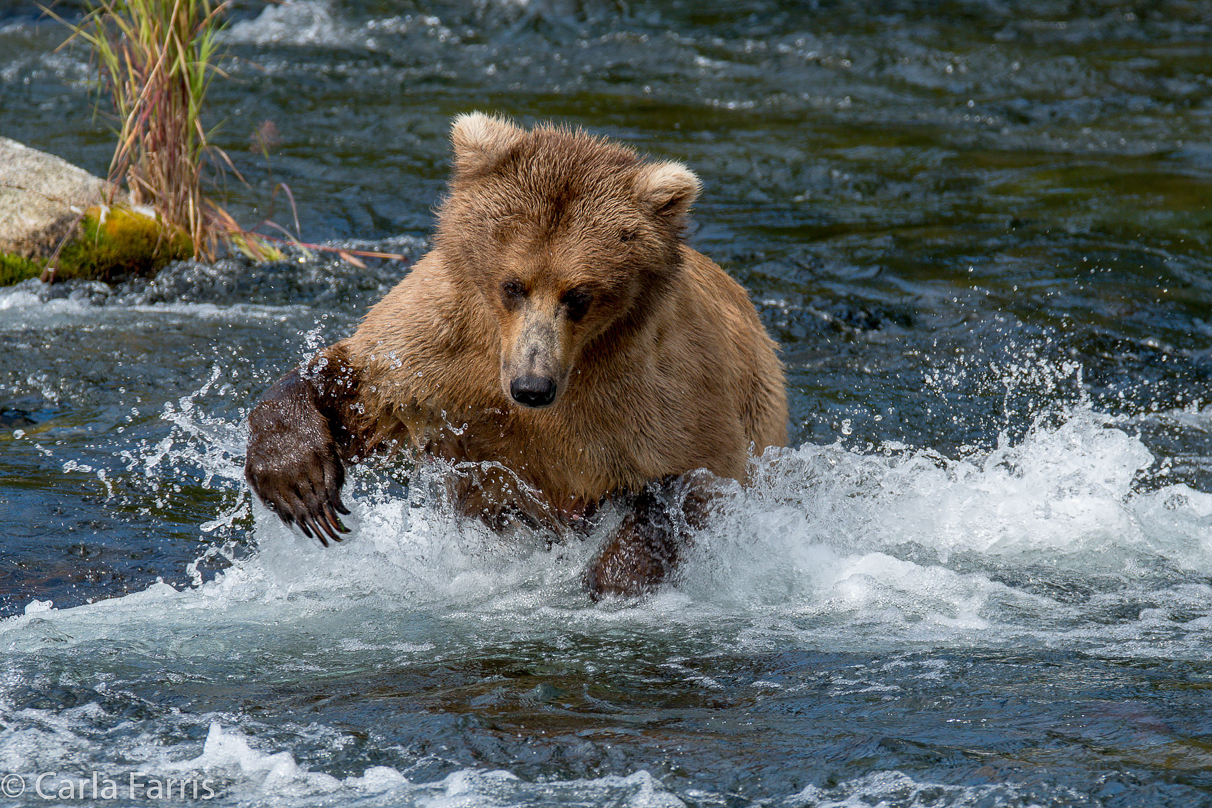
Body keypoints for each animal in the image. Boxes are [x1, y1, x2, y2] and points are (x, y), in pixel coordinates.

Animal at [246, 115, 790, 600]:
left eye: (579, 295)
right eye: (513, 285)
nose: (532, 387)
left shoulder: (650, 382)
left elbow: (696, 476)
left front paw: (613, 578)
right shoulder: (444, 350)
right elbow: (364, 391)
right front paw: (300, 481)